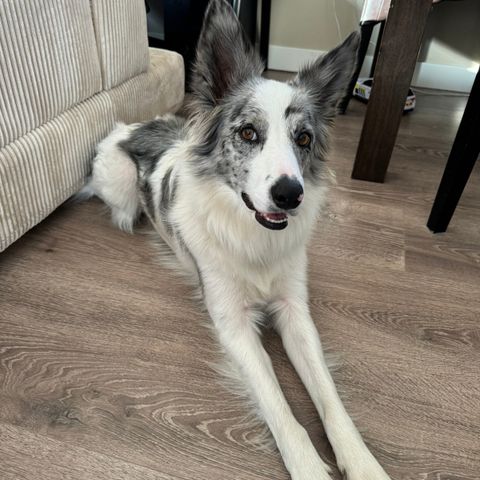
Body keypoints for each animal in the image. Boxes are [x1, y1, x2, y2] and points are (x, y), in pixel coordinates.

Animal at [82, 1, 390, 478]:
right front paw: (308, 465)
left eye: (303, 138)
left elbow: (330, 398)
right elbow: (279, 406)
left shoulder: (294, 310)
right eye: (248, 133)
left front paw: (363, 463)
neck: (253, 236)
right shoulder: (233, 323)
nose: (290, 195)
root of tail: (130, 126)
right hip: (120, 192)